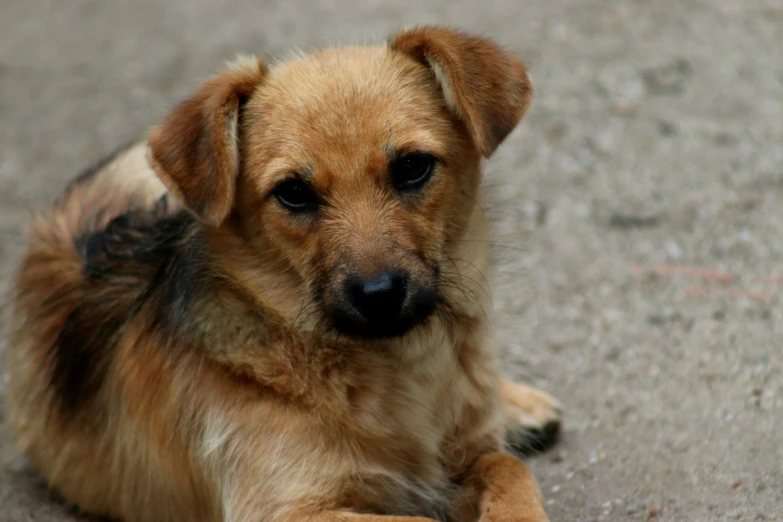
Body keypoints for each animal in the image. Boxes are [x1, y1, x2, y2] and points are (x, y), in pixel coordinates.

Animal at [3, 25, 560, 520]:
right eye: (293, 192)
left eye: (412, 166)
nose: (378, 294)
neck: (397, 369)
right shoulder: (287, 509)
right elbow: (422, 517)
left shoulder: (468, 459)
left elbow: (510, 471)